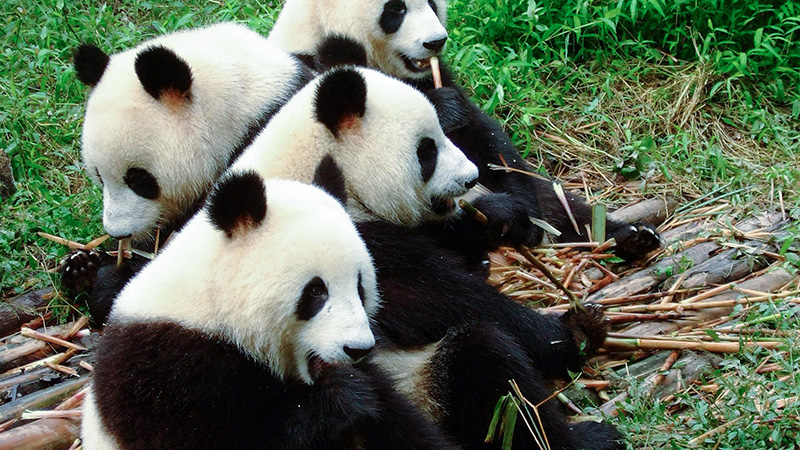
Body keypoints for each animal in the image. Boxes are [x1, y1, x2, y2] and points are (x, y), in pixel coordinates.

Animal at [232, 66, 624, 449]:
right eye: (427, 150)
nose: (471, 178)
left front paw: (507, 218)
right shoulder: (357, 248)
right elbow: (450, 300)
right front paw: (572, 332)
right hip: (418, 384)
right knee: (493, 369)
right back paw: (588, 438)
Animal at [267, 0, 662, 260]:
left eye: (431, 1)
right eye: (395, 9)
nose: (435, 41)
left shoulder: (435, 77)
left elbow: (486, 139)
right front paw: (504, 220)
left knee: (557, 201)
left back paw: (627, 236)